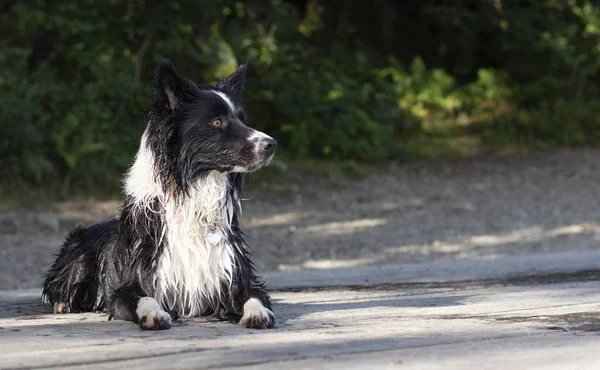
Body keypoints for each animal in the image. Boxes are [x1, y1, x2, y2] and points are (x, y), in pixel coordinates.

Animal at [41, 59, 278, 330]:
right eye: (217, 122)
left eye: (242, 119)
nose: (271, 144)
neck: (192, 193)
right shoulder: (129, 286)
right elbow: (143, 298)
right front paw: (153, 313)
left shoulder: (235, 277)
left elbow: (255, 295)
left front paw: (257, 312)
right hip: (76, 255)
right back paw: (63, 303)